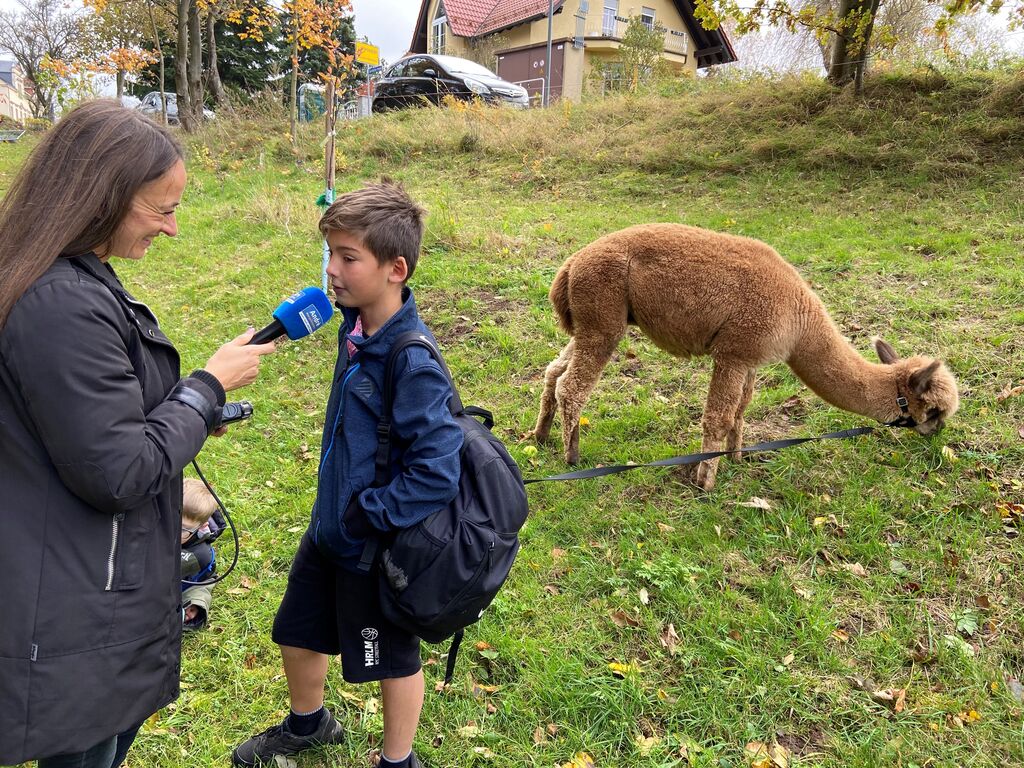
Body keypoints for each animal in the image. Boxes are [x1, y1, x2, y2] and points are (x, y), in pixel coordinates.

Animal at [532, 223, 960, 490]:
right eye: (934, 410)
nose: (936, 433)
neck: (799, 323)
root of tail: (570, 264)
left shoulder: (751, 355)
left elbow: (740, 411)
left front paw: (737, 458)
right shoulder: (734, 352)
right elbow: (718, 417)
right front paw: (705, 481)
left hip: (595, 321)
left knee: (554, 372)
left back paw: (541, 436)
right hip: (603, 314)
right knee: (573, 386)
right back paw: (572, 456)